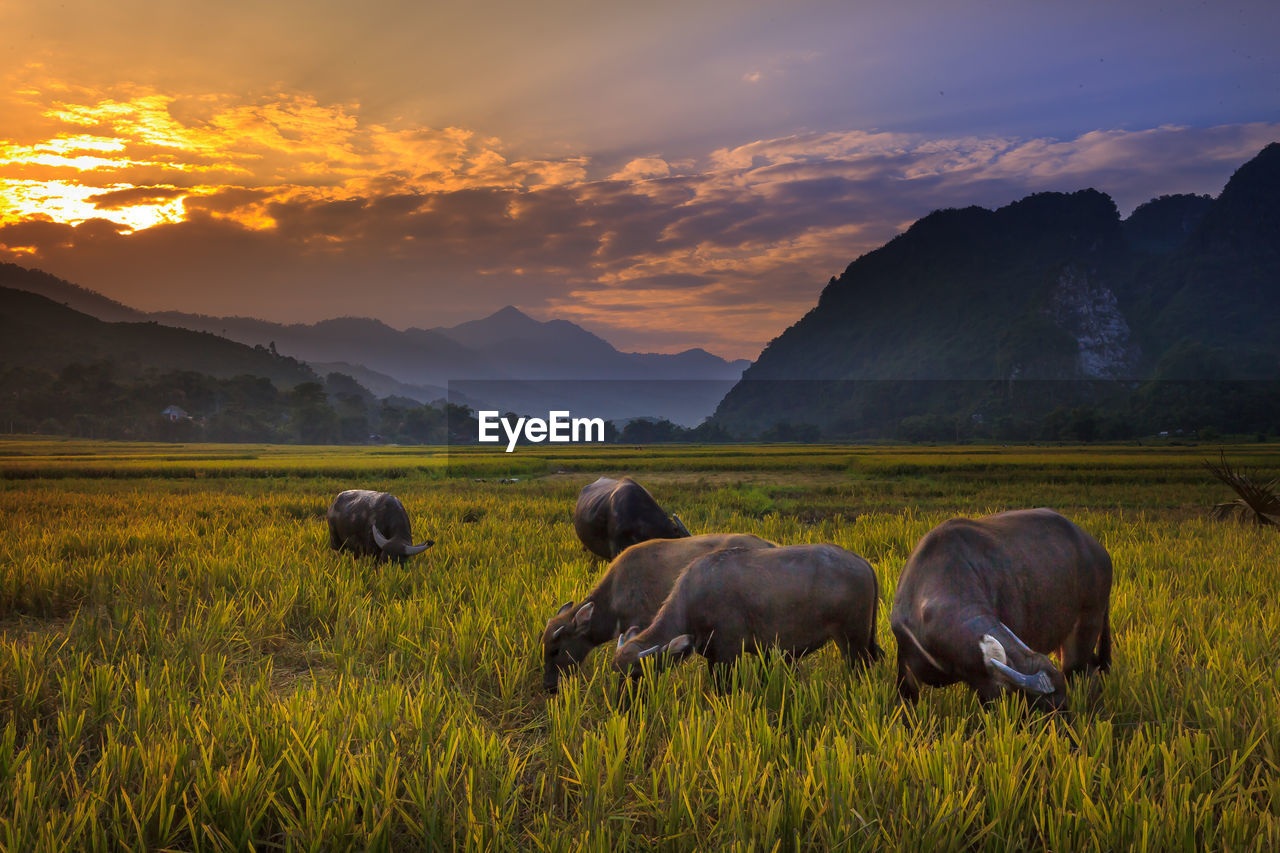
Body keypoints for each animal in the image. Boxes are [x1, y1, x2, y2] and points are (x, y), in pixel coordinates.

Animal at [611, 545, 880, 686]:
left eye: (635, 674)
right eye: (615, 673)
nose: (622, 706)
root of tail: (861, 561)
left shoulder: (728, 656)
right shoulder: (714, 657)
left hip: (852, 641)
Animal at [890, 504, 1111, 712]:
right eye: (1047, 704)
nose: (1066, 716)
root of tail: (1099, 551)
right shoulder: (906, 666)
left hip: (1087, 624)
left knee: (1082, 669)